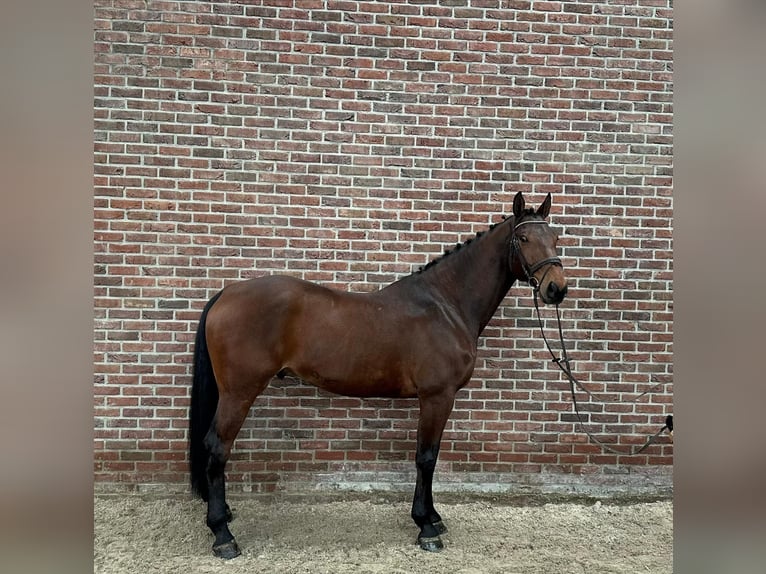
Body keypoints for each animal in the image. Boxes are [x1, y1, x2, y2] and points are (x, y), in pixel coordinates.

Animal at [188, 191, 569, 558]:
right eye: (523, 238)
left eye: (555, 237)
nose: (556, 289)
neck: (446, 305)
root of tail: (227, 293)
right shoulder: (437, 396)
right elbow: (426, 457)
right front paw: (426, 527)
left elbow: (431, 455)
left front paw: (434, 517)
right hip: (239, 393)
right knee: (218, 447)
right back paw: (223, 536)